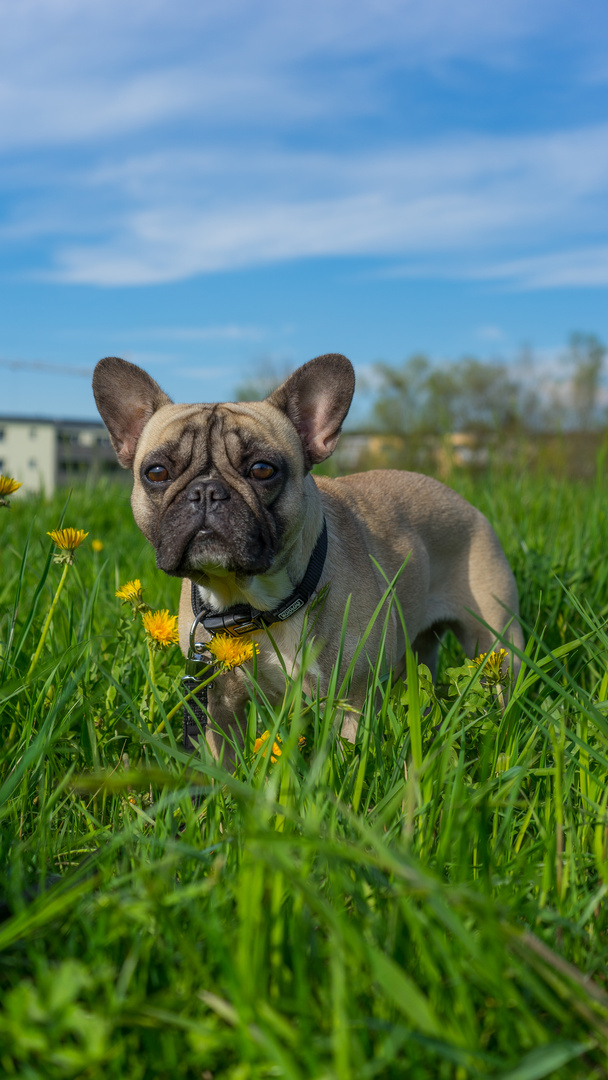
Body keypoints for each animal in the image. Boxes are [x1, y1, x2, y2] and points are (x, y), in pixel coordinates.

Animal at [93, 354, 522, 760]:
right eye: (156, 472)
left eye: (262, 469)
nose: (206, 492)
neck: (252, 605)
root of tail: (464, 502)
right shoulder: (217, 705)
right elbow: (223, 764)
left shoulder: (353, 698)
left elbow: (347, 757)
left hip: (495, 642)